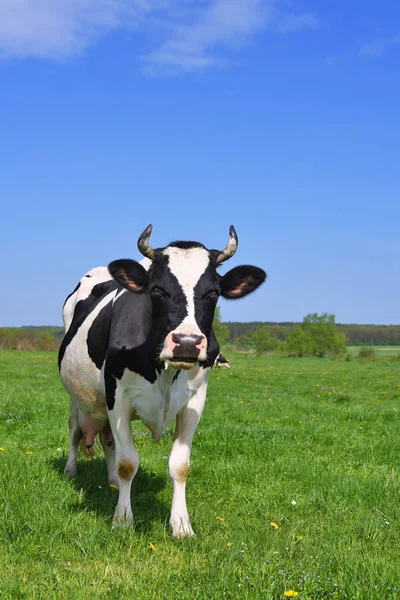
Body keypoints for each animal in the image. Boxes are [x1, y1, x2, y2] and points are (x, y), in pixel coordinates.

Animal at [58, 226, 266, 540]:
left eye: (214, 292)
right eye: (157, 290)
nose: (188, 342)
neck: (164, 372)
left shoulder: (195, 400)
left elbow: (179, 465)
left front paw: (181, 525)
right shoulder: (117, 395)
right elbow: (128, 462)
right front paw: (122, 520)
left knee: (107, 441)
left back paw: (112, 481)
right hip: (76, 396)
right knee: (74, 430)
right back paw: (72, 470)